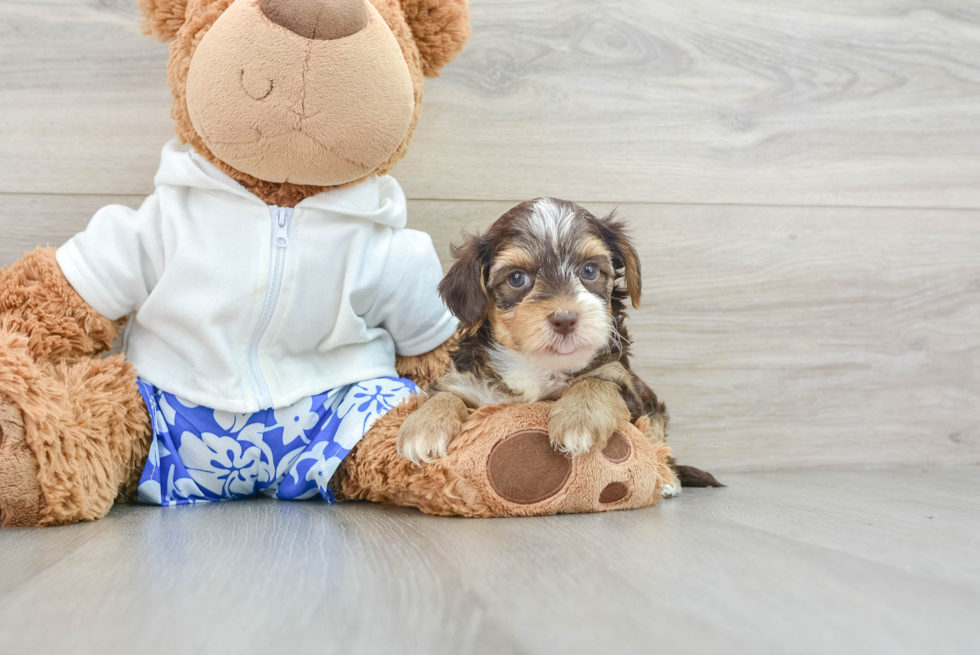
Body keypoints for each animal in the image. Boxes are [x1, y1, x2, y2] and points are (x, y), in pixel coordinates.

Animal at [394, 197, 724, 490]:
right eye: (517, 278)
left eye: (589, 270)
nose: (565, 319)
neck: (538, 365)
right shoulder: (468, 382)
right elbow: (446, 395)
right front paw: (422, 427)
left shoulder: (628, 383)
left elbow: (598, 380)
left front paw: (579, 420)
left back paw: (667, 480)